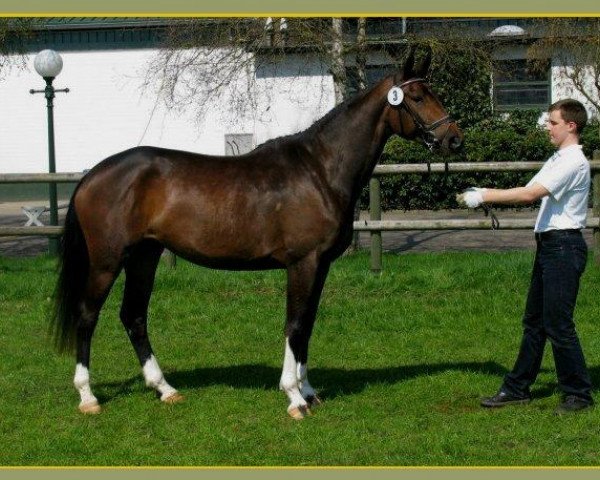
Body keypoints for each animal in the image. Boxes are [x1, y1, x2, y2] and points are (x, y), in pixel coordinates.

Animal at [51, 47, 464, 416]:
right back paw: (88, 396)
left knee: (134, 316)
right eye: (416, 96)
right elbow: (294, 324)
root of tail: (93, 174)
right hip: (107, 261)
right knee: (88, 315)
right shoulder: (302, 263)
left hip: (144, 256)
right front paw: (294, 397)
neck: (319, 170)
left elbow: (307, 325)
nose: (454, 138)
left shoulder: (321, 265)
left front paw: (309, 390)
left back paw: (165, 388)